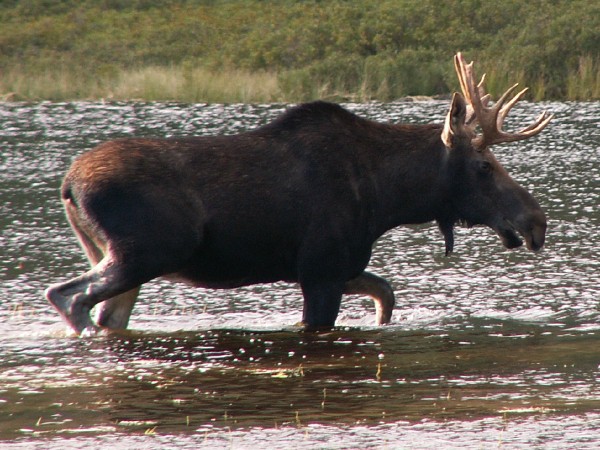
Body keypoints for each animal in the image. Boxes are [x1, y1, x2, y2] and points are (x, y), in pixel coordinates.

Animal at [45, 53, 552, 334]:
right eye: (484, 165)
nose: (536, 222)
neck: (389, 198)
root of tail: (69, 185)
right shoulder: (321, 268)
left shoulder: (336, 265)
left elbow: (385, 295)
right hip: (146, 252)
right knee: (68, 296)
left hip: (117, 256)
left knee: (108, 315)